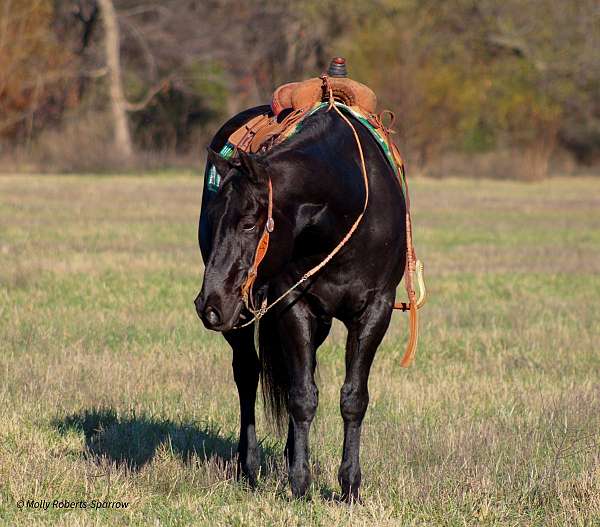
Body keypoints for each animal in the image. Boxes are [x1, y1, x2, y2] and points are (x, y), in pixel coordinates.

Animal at [195, 104, 406, 504]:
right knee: (248, 373)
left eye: (249, 223)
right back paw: (249, 466)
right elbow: (302, 396)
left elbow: (352, 398)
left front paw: (350, 486)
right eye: (212, 218)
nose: (208, 305)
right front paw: (299, 483)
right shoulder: (293, 305)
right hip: (244, 318)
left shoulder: (375, 311)